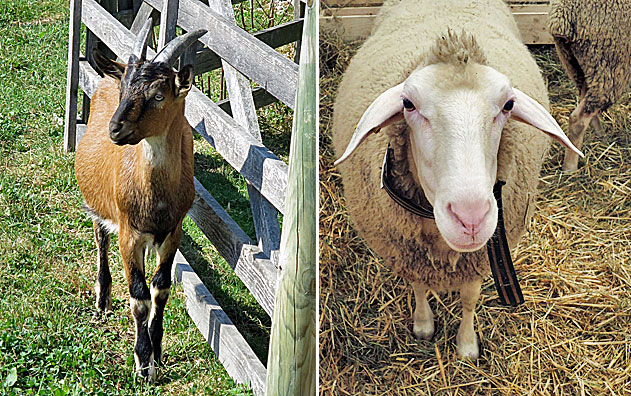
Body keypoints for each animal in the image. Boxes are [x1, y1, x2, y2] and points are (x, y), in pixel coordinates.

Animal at [75, 20, 206, 380]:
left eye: (159, 95)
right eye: (124, 92)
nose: (115, 129)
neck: (156, 198)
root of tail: (112, 66)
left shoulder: (173, 232)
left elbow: (160, 290)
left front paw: (157, 351)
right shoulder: (128, 233)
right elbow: (139, 296)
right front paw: (143, 362)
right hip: (99, 204)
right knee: (100, 237)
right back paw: (102, 299)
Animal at [334, 0, 584, 358]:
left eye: (508, 105)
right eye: (408, 104)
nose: (471, 218)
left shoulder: (480, 257)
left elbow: (469, 298)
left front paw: (466, 345)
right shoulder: (409, 253)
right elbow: (419, 286)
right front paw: (423, 326)